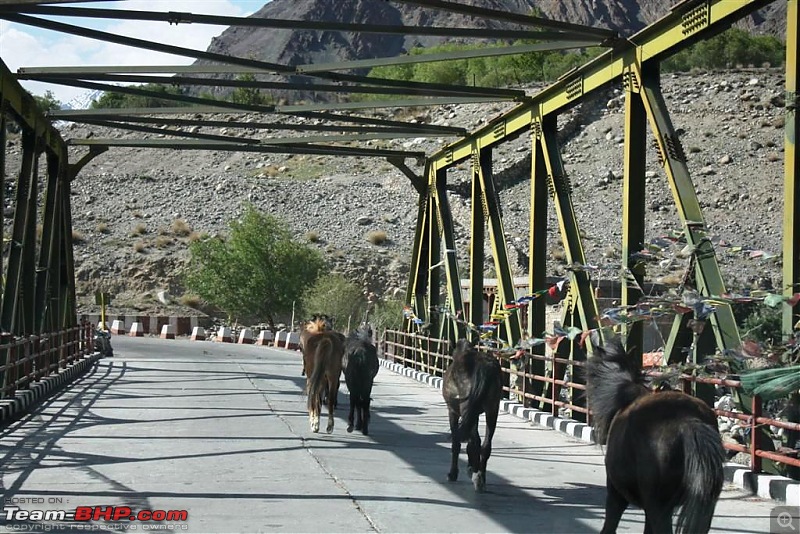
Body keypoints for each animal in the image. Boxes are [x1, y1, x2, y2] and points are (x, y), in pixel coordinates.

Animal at [440, 340, 504, 494]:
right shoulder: (474, 413)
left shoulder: (453, 412)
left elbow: (457, 442)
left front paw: (453, 473)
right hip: (492, 408)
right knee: (485, 445)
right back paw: (480, 475)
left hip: (465, 408)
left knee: (474, 441)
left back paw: (477, 476)